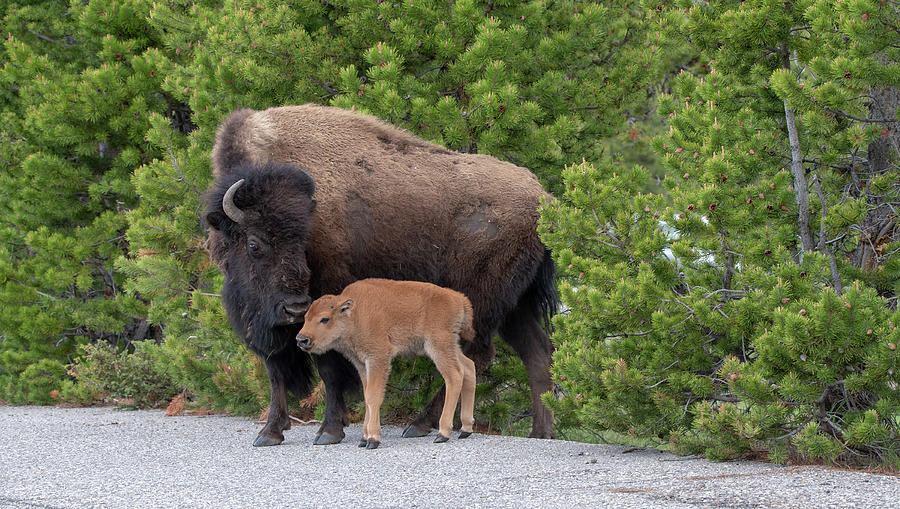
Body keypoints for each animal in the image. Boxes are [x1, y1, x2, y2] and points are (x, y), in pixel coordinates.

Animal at [298, 278, 478, 448]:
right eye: (306, 317)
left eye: (324, 319)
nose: (301, 339)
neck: (355, 314)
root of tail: (458, 298)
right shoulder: (362, 364)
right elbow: (366, 396)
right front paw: (364, 438)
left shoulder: (378, 358)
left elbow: (373, 396)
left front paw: (373, 439)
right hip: (450, 346)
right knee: (469, 368)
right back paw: (465, 429)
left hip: (438, 345)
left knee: (454, 375)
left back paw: (442, 433)